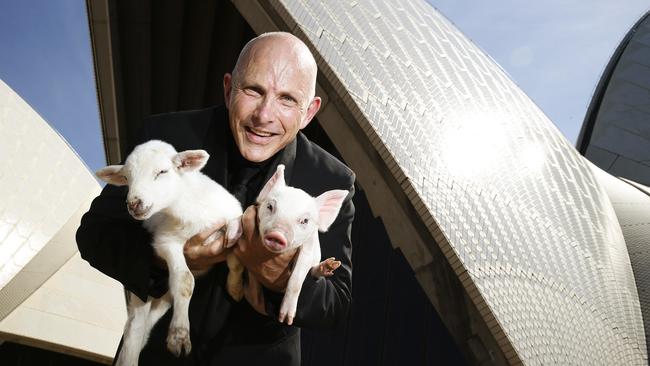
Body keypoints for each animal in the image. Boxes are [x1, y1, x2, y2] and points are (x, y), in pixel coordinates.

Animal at [93, 140, 240, 366]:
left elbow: (236, 252)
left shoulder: (232, 216)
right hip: (141, 294)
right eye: (126, 178)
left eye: (162, 171)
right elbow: (185, 280)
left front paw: (235, 287)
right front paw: (179, 336)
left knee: (146, 329)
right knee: (134, 331)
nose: (134, 204)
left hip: (163, 299)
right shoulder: (167, 241)